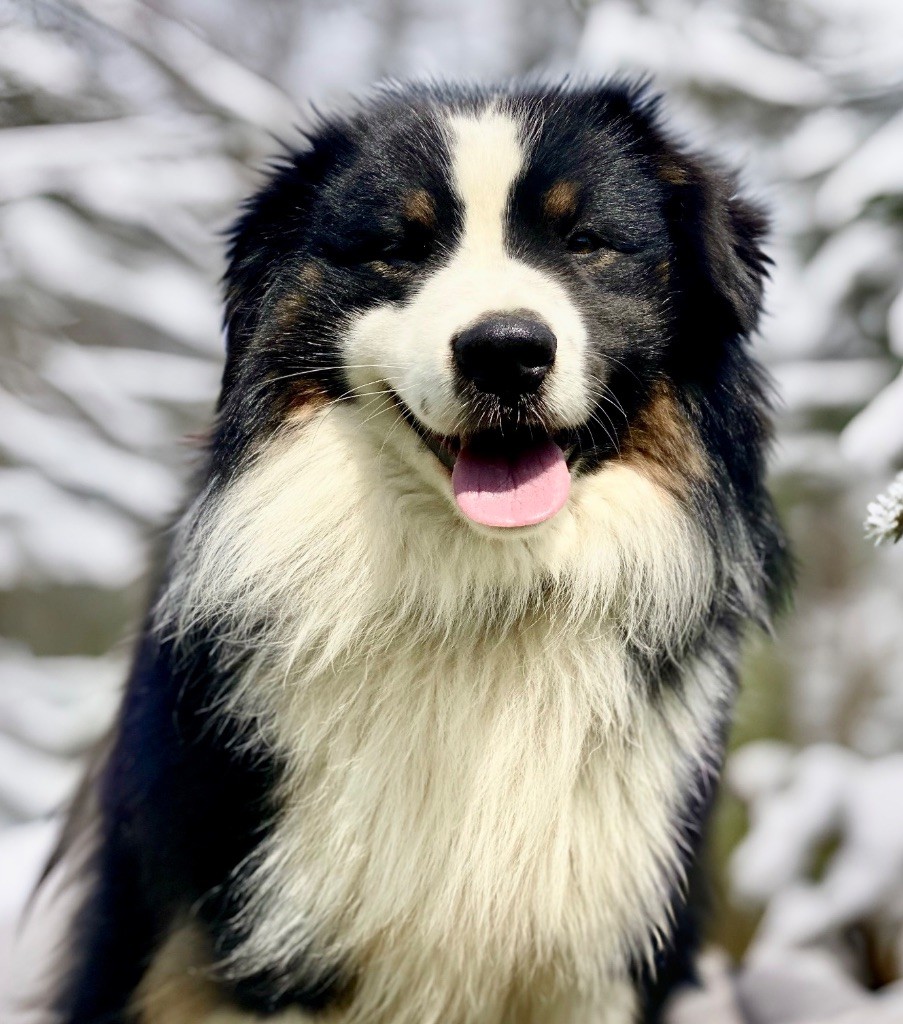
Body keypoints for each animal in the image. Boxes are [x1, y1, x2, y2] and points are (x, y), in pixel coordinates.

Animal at [40, 81, 786, 1024]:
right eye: (399, 248)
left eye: (584, 241)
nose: (505, 351)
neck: (480, 593)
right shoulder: (257, 940)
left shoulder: (599, 954)